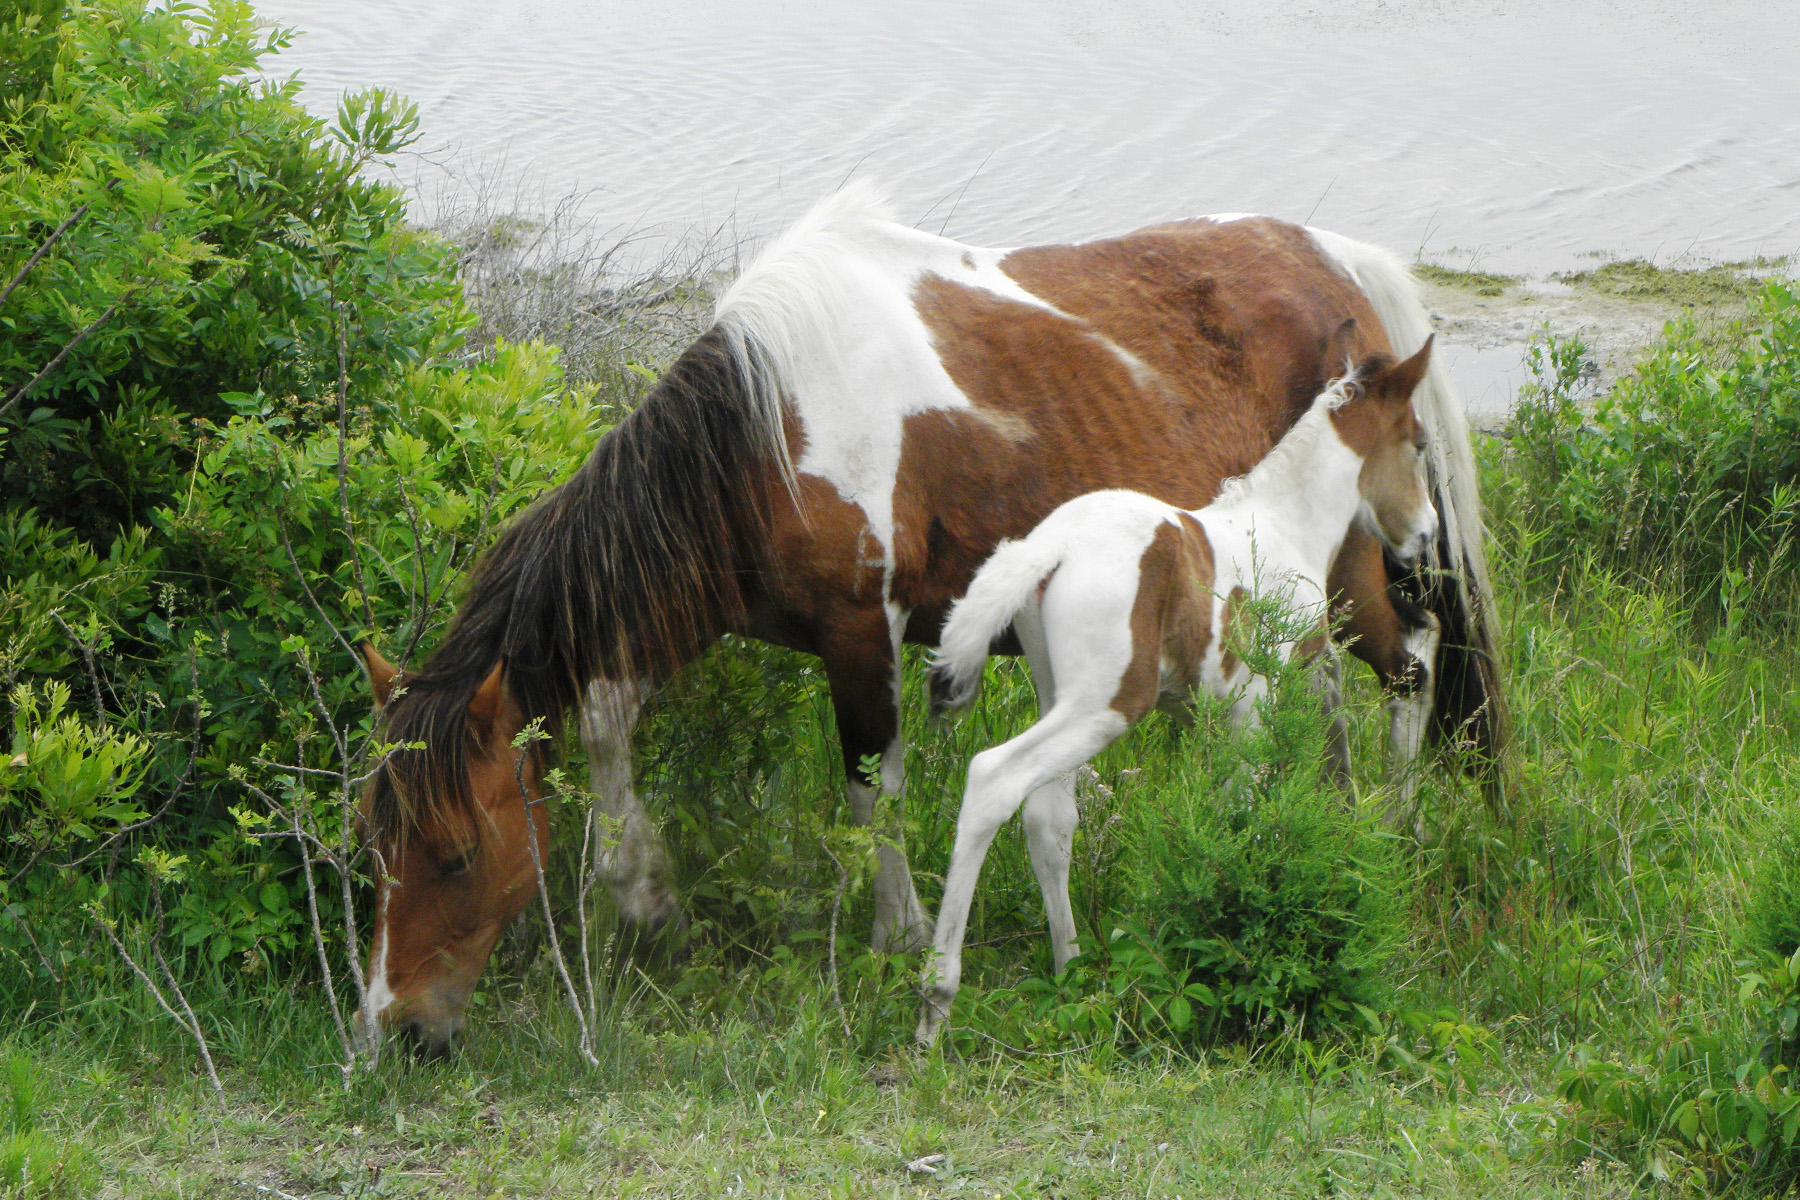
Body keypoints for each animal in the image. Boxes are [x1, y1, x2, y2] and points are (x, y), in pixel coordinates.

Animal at [913, 337, 1437, 1044]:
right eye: (1418, 443)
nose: (1426, 536)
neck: (1285, 523)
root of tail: (1048, 547)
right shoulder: (1254, 704)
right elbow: (1249, 812)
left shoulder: (1208, 712)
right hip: (1105, 705)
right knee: (993, 778)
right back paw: (936, 1001)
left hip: (1058, 695)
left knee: (1049, 817)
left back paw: (1073, 970)